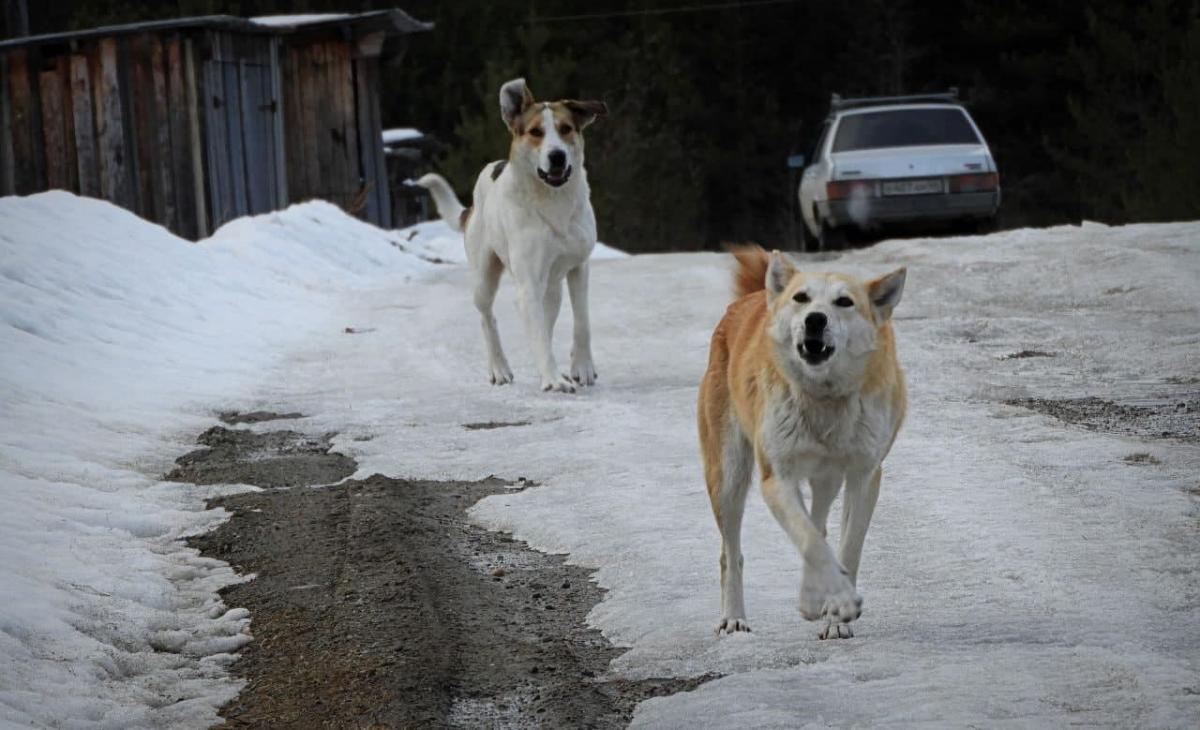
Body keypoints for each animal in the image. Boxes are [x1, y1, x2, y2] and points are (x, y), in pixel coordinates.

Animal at [415, 78, 604, 393]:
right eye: (536, 132)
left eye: (566, 128)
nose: (557, 156)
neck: (552, 200)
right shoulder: (527, 284)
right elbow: (538, 334)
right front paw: (553, 379)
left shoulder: (579, 266)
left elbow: (583, 321)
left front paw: (581, 368)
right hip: (484, 278)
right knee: (486, 317)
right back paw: (500, 369)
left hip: (551, 289)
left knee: (546, 317)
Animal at [700, 246, 902, 638]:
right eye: (801, 298)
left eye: (844, 301)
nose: (815, 320)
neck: (823, 398)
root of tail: (751, 299)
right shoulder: (777, 477)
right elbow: (809, 540)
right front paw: (836, 600)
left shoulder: (863, 475)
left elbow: (846, 545)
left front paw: (835, 614)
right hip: (728, 478)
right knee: (731, 553)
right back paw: (734, 618)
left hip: (828, 477)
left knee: (820, 522)